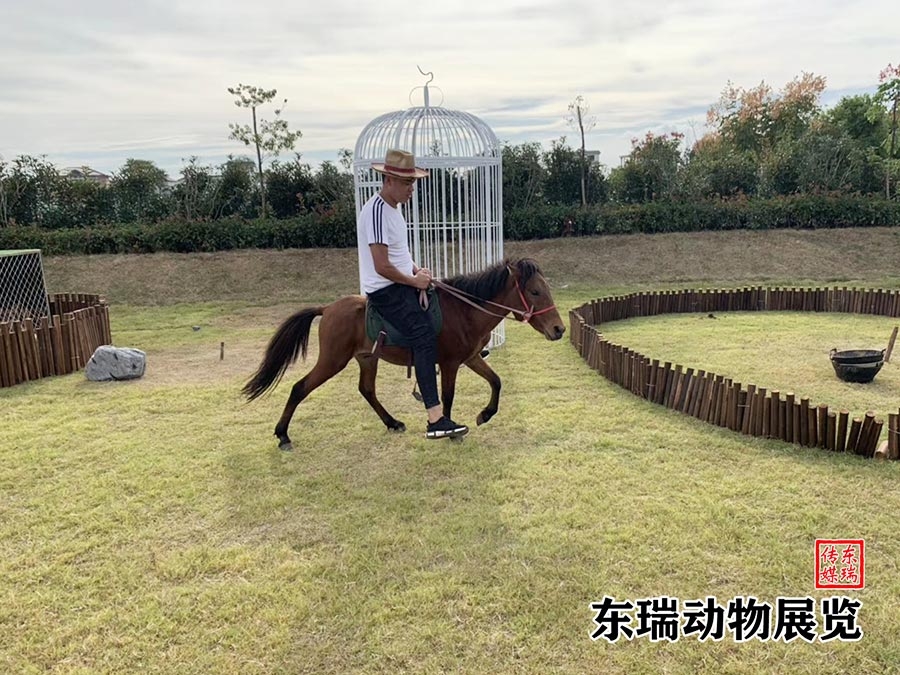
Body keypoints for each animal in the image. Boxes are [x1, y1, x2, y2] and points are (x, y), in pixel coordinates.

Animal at [242, 257, 566, 450]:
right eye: (535, 292)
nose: (559, 329)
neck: (464, 311)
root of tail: (328, 308)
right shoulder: (450, 363)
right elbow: (446, 396)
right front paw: (447, 429)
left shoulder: (471, 358)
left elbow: (496, 381)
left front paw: (485, 414)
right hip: (333, 360)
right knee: (300, 388)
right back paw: (283, 434)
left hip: (367, 359)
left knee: (367, 390)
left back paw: (392, 422)